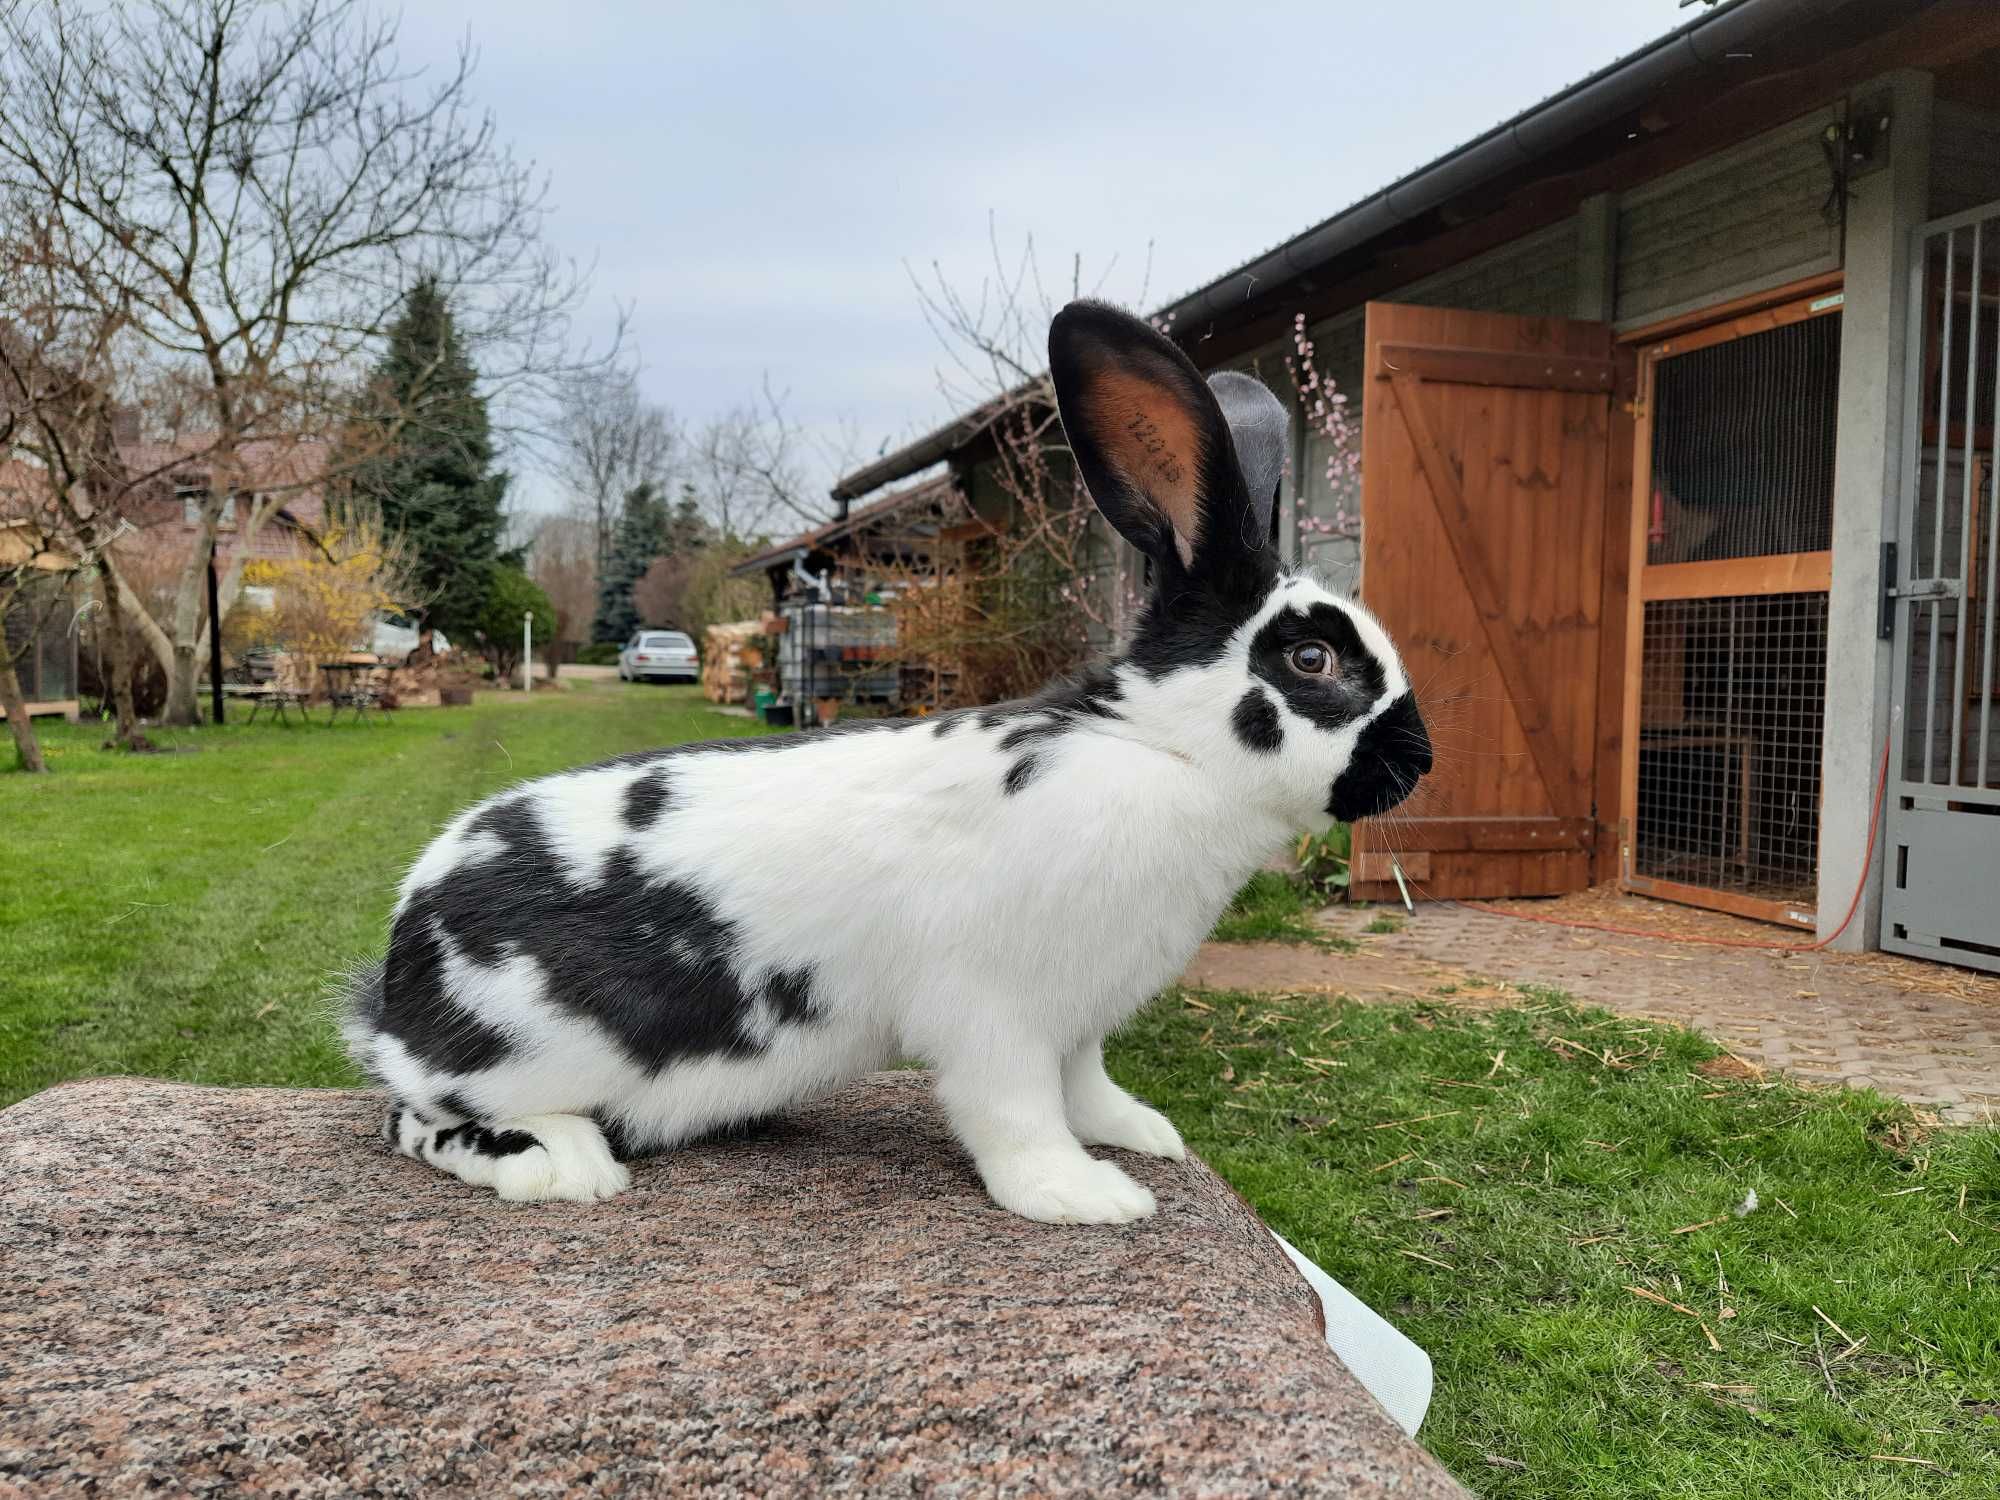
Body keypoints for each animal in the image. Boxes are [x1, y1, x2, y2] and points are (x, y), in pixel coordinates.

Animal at [348, 300, 1440, 1224]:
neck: (1161, 748)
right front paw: (1085, 1198)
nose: (1418, 764)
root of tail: (396, 981)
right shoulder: (995, 1014)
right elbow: (1017, 1114)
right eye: (1311, 660)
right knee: (419, 1121)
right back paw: (559, 1167)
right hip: (516, 1057)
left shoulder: (1079, 1021)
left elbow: (1086, 1088)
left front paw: (1141, 1138)